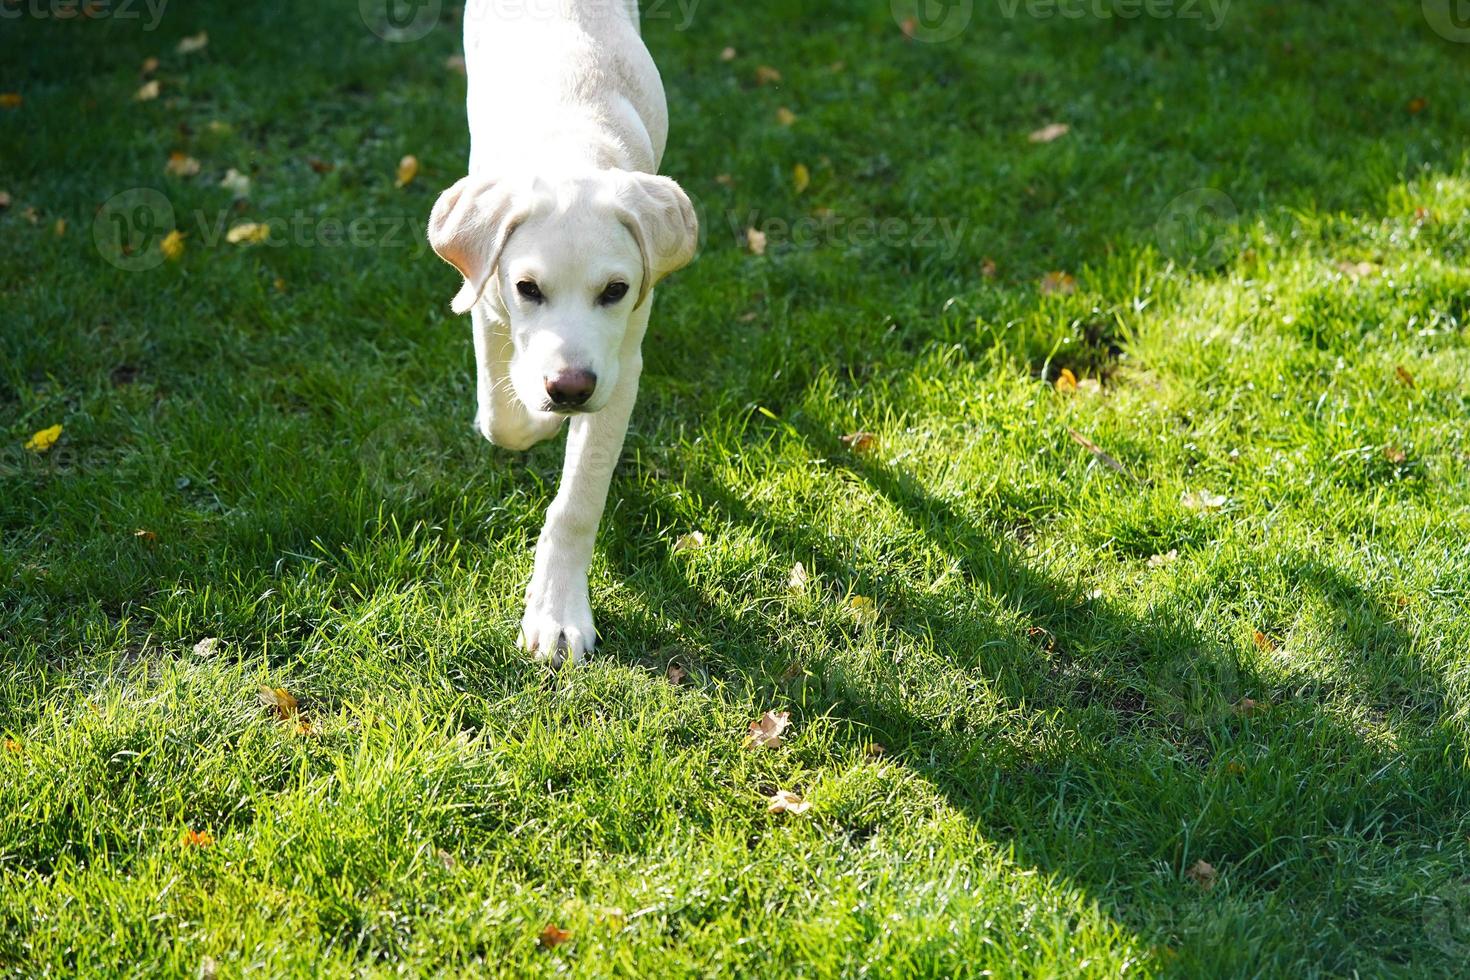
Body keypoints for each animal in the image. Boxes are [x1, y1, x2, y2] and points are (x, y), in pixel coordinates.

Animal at [429, 0, 696, 667]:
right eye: (528, 289)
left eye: (616, 291)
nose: (570, 389)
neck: (568, 146)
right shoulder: (487, 307)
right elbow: (502, 418)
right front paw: (536, 416)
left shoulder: (622, 368)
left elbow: (578, 500)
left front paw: (557, 612)